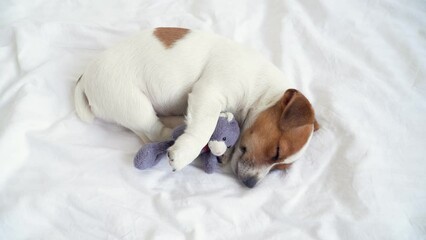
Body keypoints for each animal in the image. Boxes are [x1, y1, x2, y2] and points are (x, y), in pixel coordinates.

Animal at [75, 26, 318, 188]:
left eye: (280, 168)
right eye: (277, 152)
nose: (251, 185)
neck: (261, 89)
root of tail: (84, 79)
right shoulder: (208, 92)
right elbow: (204, 128)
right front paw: (184, 152)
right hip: (133, 102)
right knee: (153, 131)